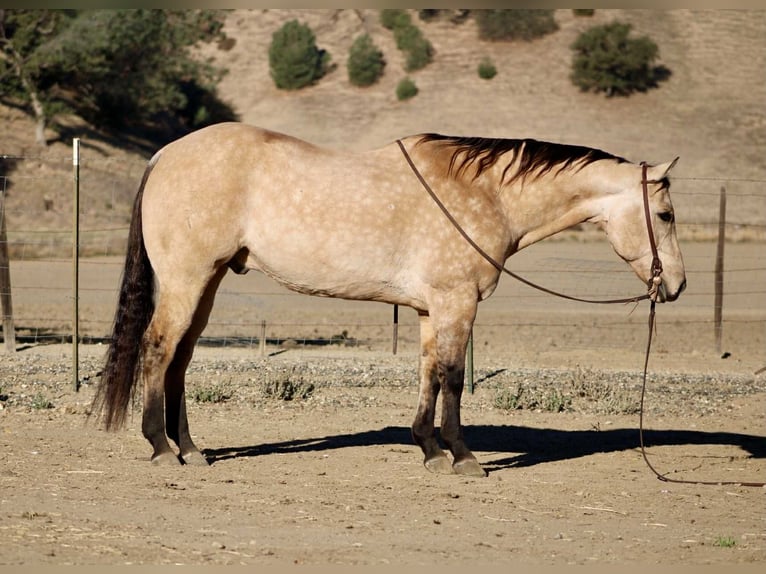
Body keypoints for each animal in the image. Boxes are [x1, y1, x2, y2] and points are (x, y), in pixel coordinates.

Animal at [92, 122, 686, 477]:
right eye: (665, 214)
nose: (676, 285)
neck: (484, 193)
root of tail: (164, 155)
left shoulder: (429, 309)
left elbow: (428, 373)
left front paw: (428, 449)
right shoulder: (457, 303)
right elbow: (452, 377)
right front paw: (463, 456)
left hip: (208, 281)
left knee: (180, 359)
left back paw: (190, 448)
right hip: (188, 279)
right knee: (159, 347)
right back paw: (161, 447)